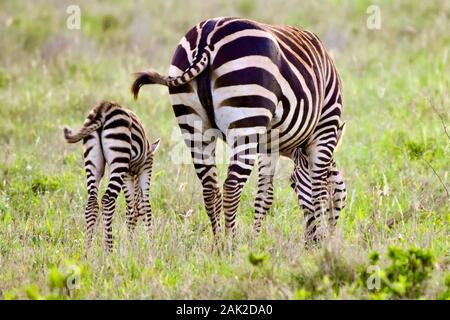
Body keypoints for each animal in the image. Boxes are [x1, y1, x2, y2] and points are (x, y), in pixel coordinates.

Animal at [63, 101, 160, 251]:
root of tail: (103, 108)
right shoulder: (145, 167)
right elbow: (144, 206)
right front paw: (150, 246)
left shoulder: (127, 174)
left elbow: (131, 207)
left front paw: (131, 246)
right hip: (118, 158)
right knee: (107, 200)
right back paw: (109, 248)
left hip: (94, 162)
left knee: (92, 202)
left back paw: (88, 249)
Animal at [132, 16, 346, 245]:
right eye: (341, 195)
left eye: (291, 184)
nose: (313, 240)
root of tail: (207, 36)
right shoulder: (324, 128)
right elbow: (318, 191)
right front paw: (320, 242)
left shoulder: (269, 145)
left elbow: (265, 196)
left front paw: (256, 241)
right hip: (246, 118)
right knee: (232, 187)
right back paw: (231, 245)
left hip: (194, 127)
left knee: (210, 188)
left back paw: (218, 245)